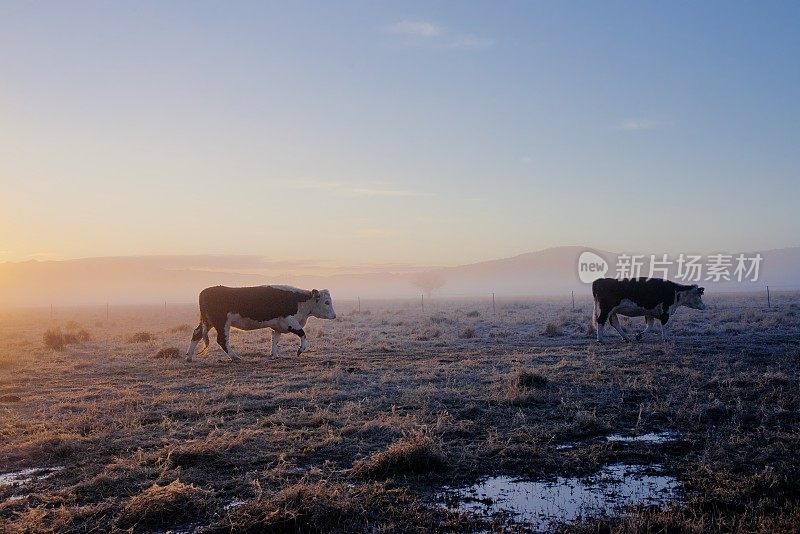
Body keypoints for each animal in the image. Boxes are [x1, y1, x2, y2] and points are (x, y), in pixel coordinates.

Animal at [186, 284, 336, 364]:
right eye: (326, 302)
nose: (334, 316)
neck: (300, 301)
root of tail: (207, 291)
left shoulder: (279, 325)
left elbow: (275, 340)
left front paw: (274, 355)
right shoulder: (290, 321)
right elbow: (303, 335)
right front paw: (300, 350)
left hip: (209, 322)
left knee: (196, 334)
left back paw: (189, 357)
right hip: (221, 323)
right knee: (222, 340)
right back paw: (235, 357)